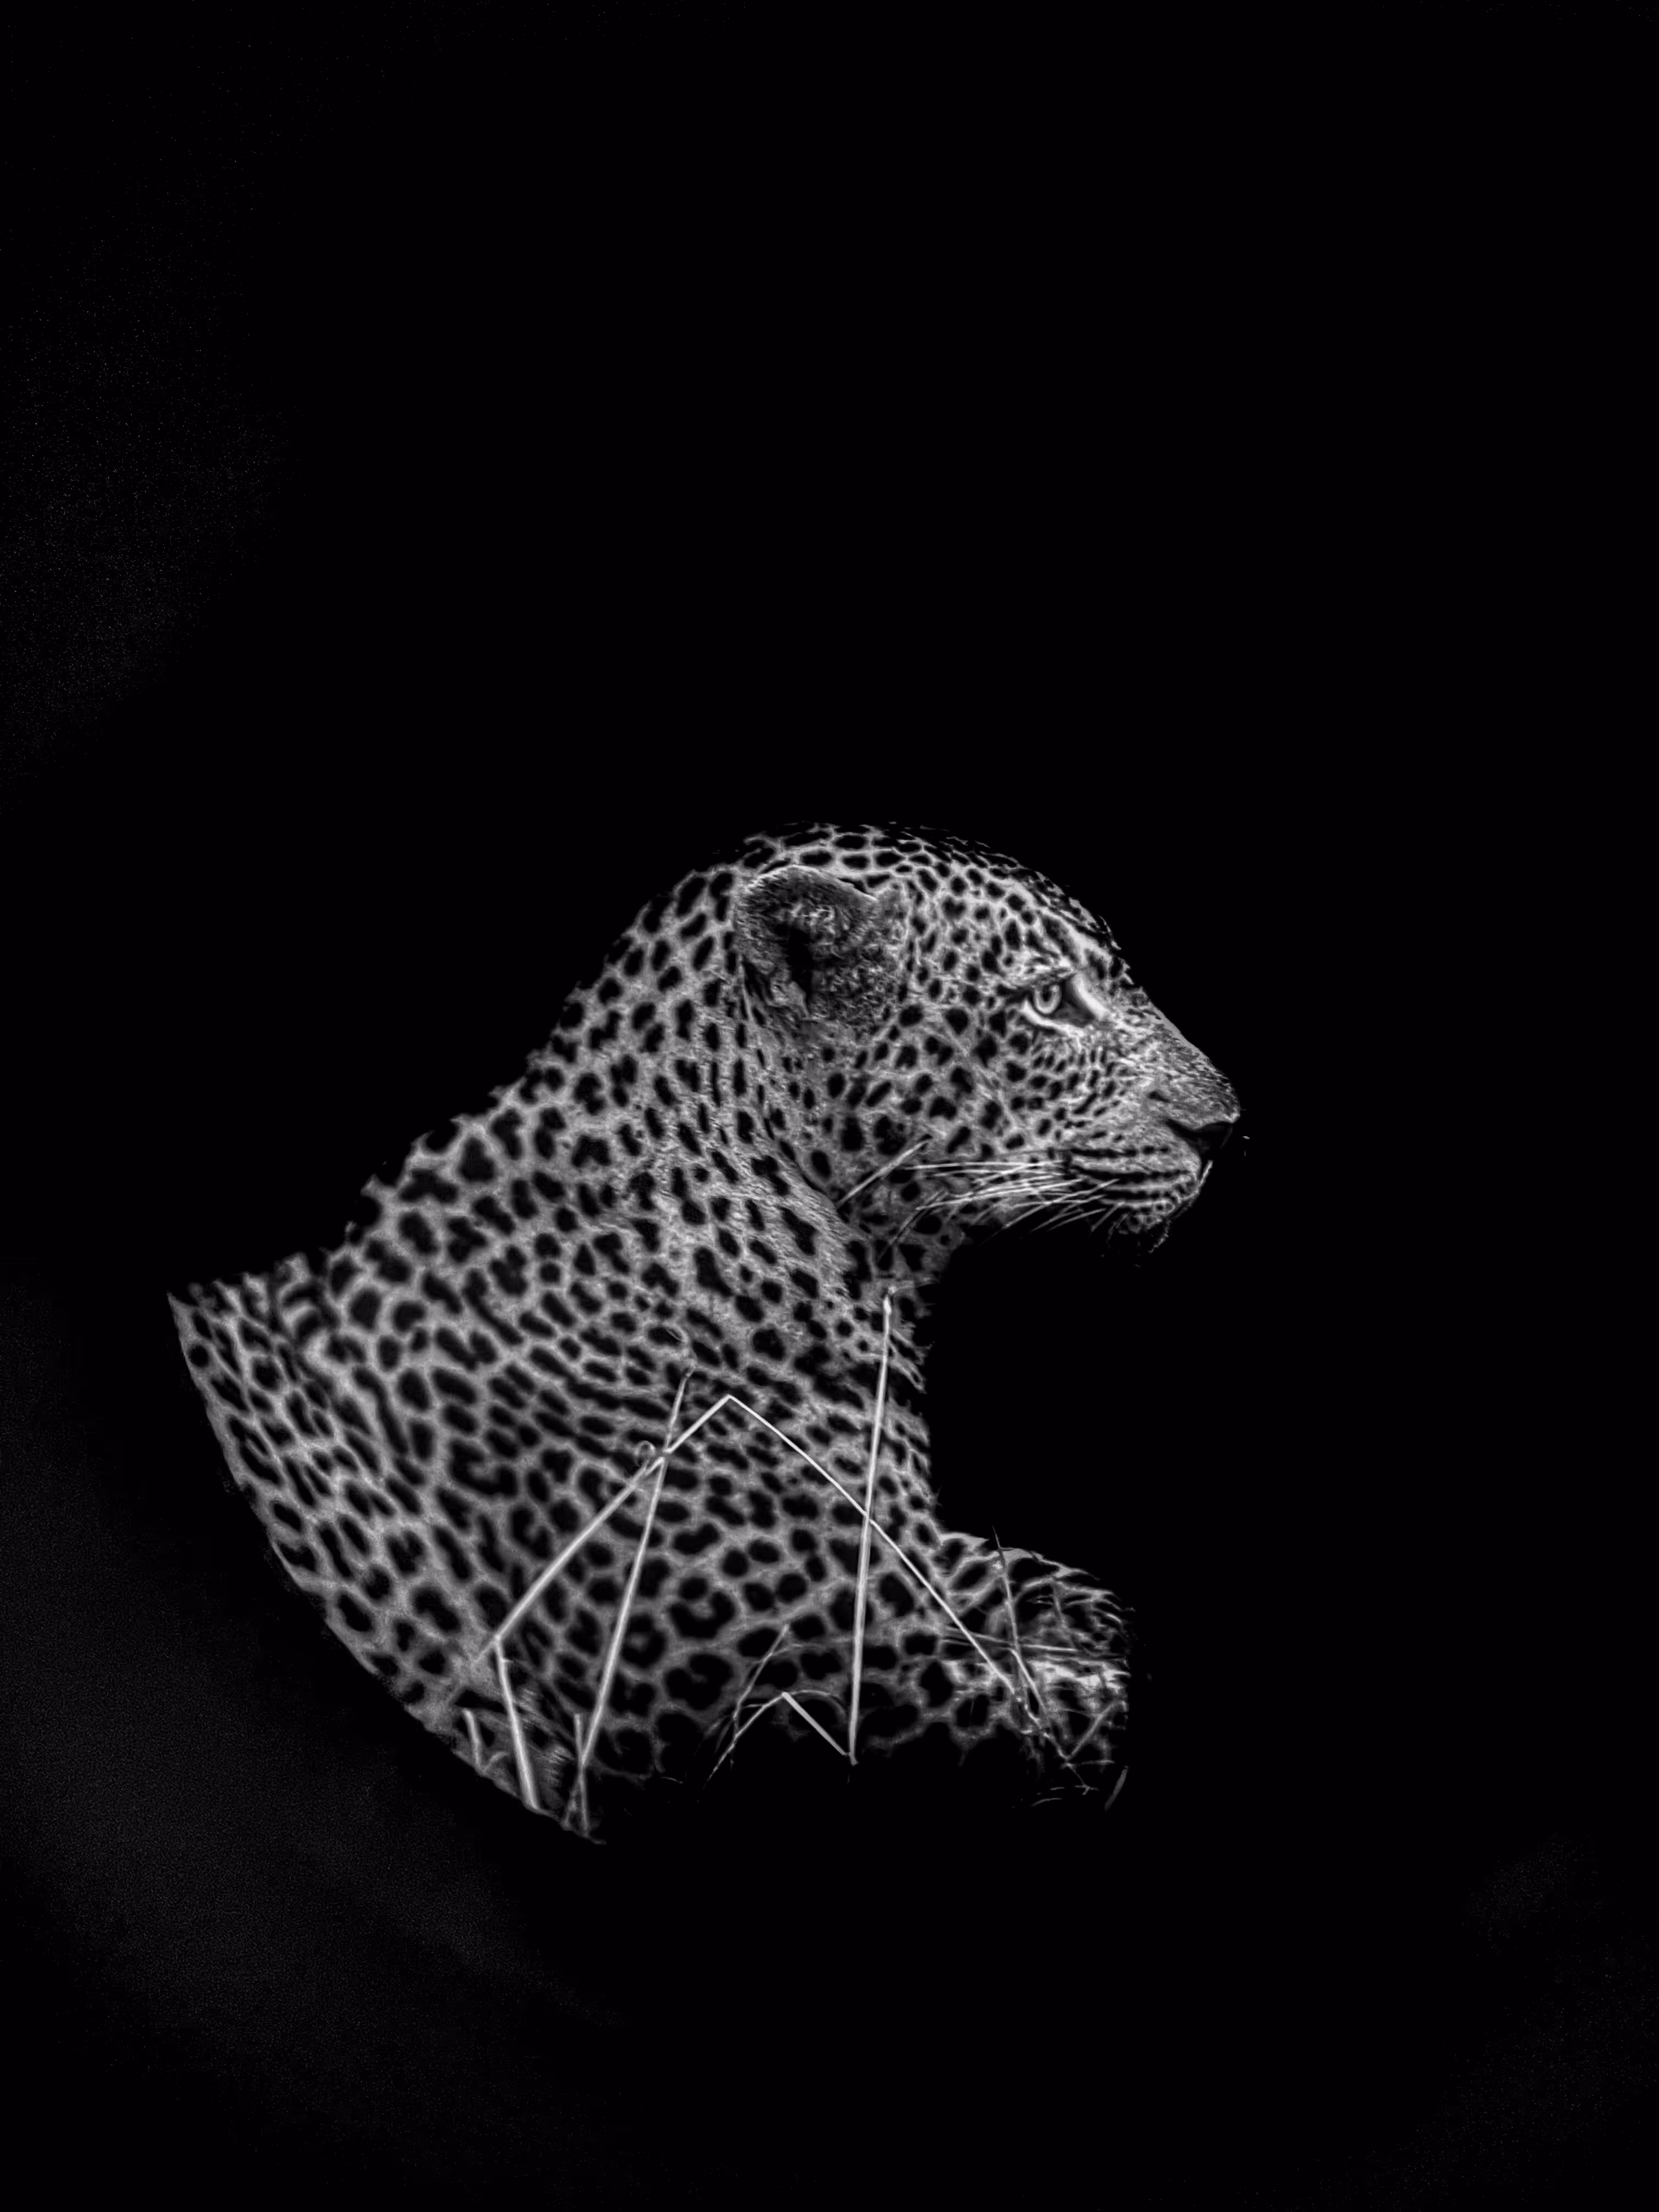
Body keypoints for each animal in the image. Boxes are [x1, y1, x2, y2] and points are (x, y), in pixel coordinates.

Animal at [172, 822, 1239, 1840]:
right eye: (1049, 1001)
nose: (1225, 1124)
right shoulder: (771, 1692)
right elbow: (1064, 1717)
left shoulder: (906, 1557)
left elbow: (1063, 1597)